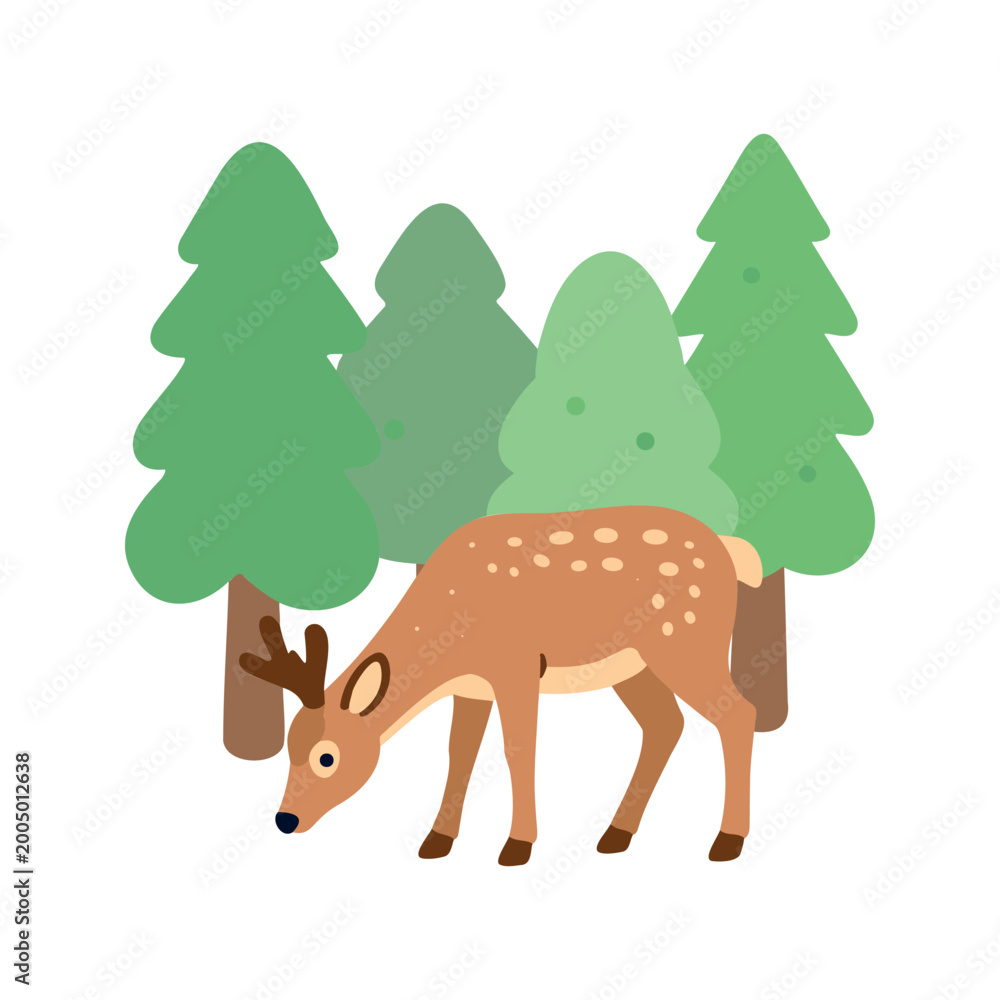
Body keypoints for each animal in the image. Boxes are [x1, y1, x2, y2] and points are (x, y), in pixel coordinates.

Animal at [240, 505, 763, 865]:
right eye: (289, 746)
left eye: (327, 756)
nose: (286, 820)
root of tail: (731, 552)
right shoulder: (472, 686)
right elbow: (460, 752)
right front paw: (437, 841)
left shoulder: (516, 665)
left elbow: (517, 748)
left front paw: (517, 846)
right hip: (635, 665)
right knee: (665, 725)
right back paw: (616, 836)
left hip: (687, 642)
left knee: (739, 713)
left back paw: (727, 841)